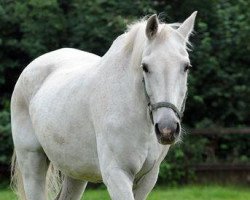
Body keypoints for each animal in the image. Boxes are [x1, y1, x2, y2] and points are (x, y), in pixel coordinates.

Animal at [10, 12, 197, 200]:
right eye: (145, 67)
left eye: (186, 67)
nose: (167, 129)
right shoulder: (116, 175)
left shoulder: (147, 179)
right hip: (32, 164)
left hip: (75, 173)